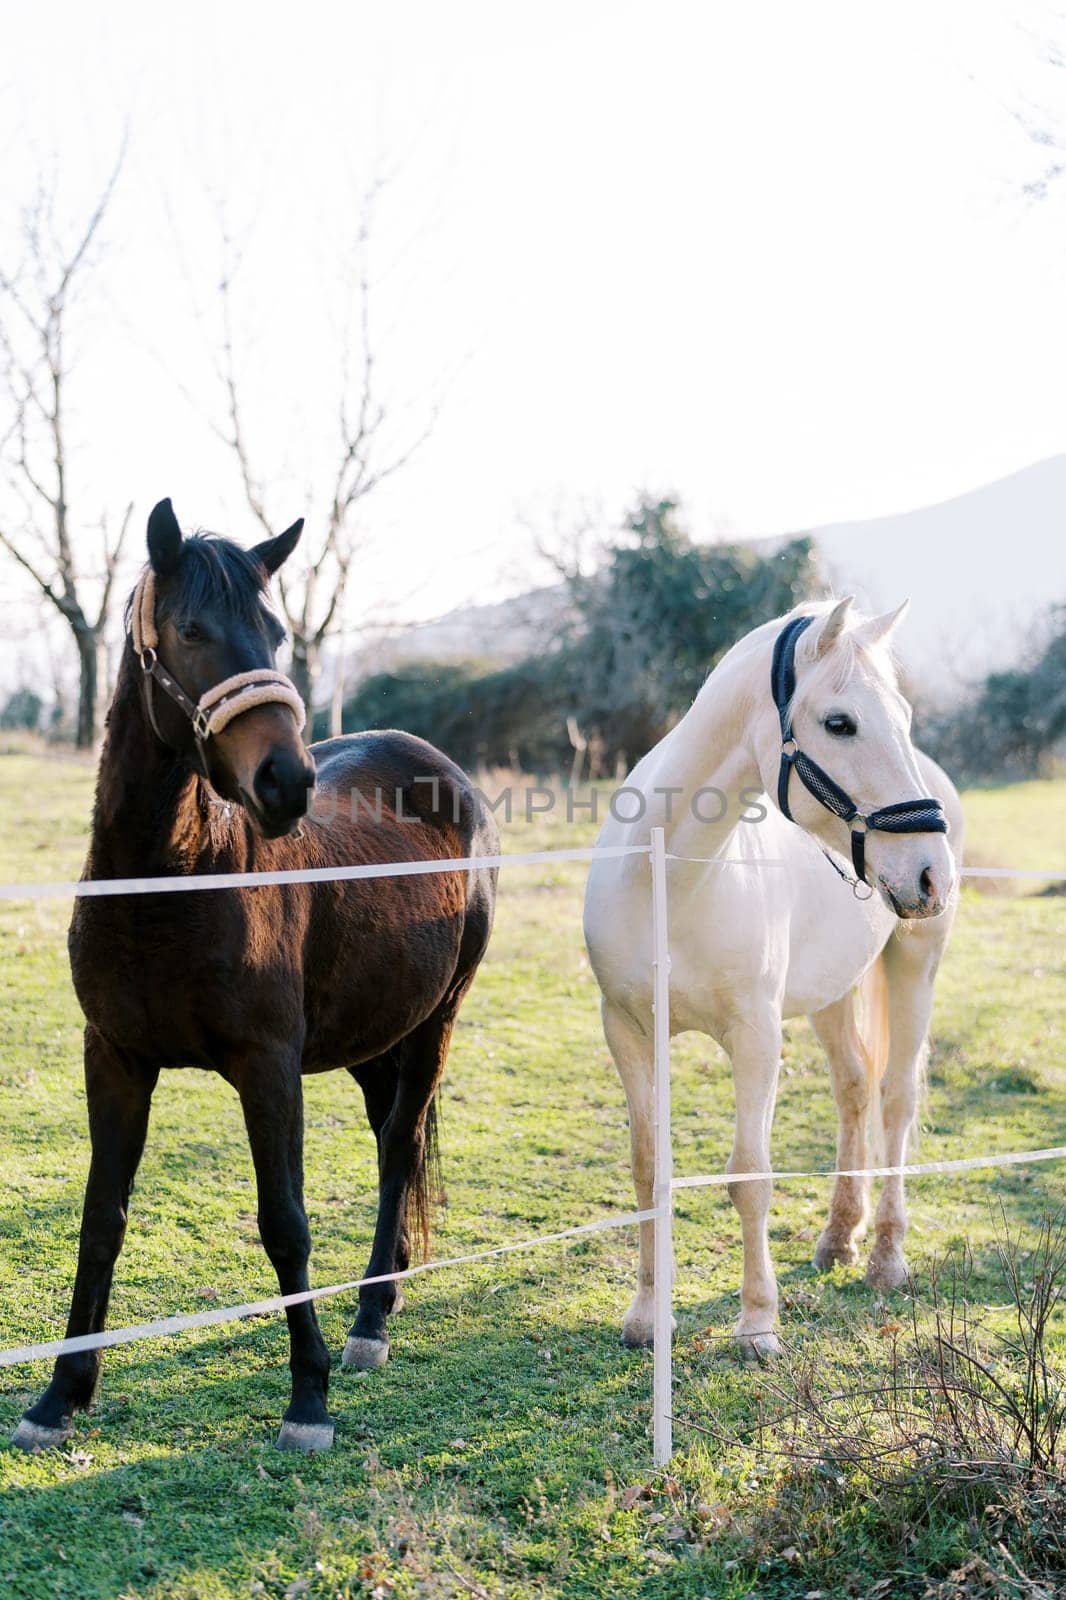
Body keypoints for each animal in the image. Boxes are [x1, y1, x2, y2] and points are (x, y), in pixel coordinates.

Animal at [10, 496, 499, 1452]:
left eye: (273, 633)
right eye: (192, 630)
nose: (287, 782)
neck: (168, 887)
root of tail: (442, 771)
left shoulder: (268, 1068)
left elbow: (285, 1224)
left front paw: (307, 1398)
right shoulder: (114, 1060)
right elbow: (101, 1218)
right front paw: (60, 1395)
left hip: (437, 1022)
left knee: (397, 1145)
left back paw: (369, 1320)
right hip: (369, 1037)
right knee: (390, 1133)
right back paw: (386, 1287)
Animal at [585, 595, 960, 1356]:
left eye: (903, 717)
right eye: (840, 722)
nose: (934, 874)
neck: (672, 876)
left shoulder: (755, 1039)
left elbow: (749, 1176)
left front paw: (758, 1323)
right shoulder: (628, 1031)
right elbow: (647, 1167)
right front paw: (647, 1316)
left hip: (915, 964)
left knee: (896, 1097)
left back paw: (885, 1257)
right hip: (832, 993)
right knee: (854, 1089)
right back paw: (838, 1238)